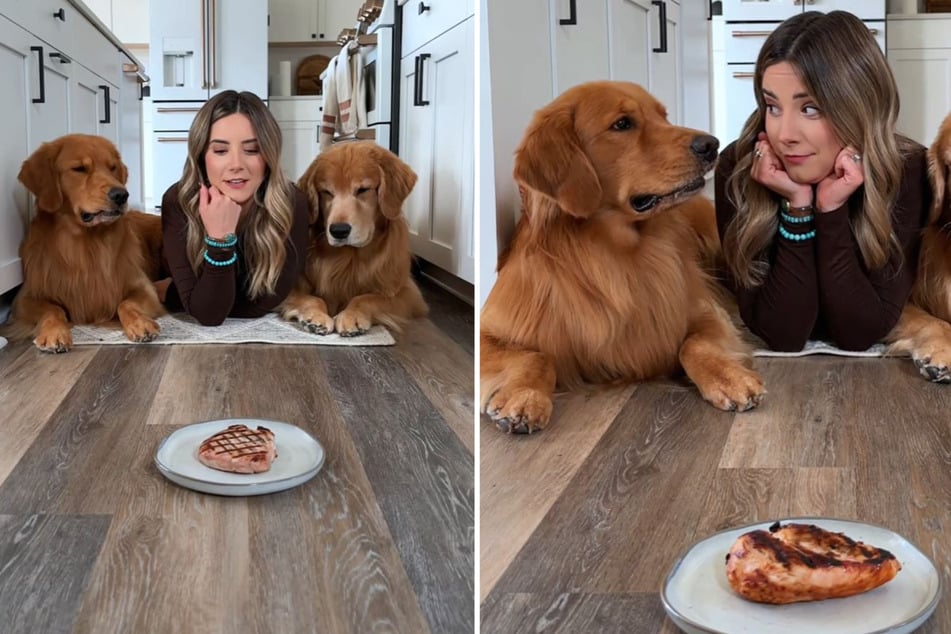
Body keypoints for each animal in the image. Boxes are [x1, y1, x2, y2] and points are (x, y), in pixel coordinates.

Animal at [8, 135, 164, 350]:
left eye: (112, 167)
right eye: (79, 169)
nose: (121, 195)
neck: (86, 242)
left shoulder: (144, 287)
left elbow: (126, 303)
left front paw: (140, 323)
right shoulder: (25, 298)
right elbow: (53, 309)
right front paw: (55, 333)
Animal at [280, 140, 430, 334]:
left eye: (363, 190)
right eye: (326, 192)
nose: (338, 231)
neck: (349, 256)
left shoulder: (407, 293)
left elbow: (365, 298)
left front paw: (352, 315)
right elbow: (312, 298)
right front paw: (316, 316)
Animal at [480, 81, 764, 432]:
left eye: (663, 116)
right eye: (622, 124)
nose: (712, 144)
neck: (613, 253)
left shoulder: (705, 310)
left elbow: (695, 343)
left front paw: (729, 377)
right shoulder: (492, 327)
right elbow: (537, 356)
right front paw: (525, 395)